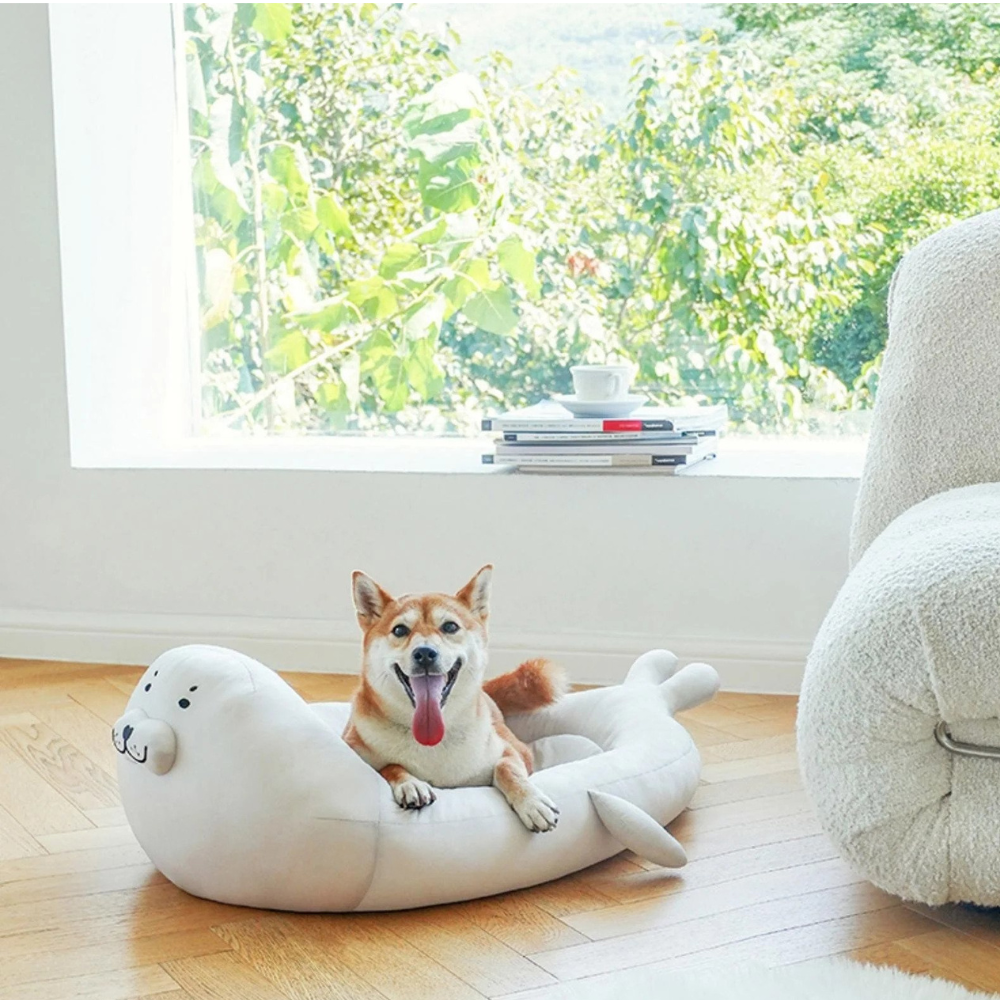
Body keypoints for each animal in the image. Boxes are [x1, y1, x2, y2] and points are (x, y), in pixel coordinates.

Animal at [344, 568, 568, 832]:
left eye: (450, 626)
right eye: (399, 630)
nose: (425, 653)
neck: (433, 740)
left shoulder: (515, 753)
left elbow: (505, 768)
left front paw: (532, 802)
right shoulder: (352, 745)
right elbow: (388, 766)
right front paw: (411, 783)